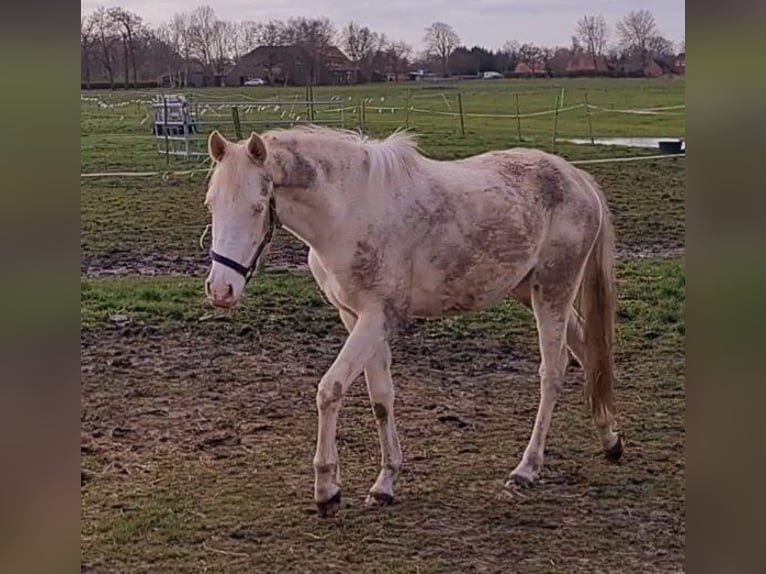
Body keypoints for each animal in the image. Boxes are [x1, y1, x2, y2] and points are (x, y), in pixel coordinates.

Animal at [202, 127, 624, 520]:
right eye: (211, 204)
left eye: (258, 206)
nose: (221, 290)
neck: (349, 210)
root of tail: (577, 178)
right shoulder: (355, 317)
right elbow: (381, 398)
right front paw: (385, 484)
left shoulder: (377, 318)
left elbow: (330, 389)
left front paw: (327, 490)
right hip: (530, 290)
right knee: (588, 354)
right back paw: (610, 440)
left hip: (553, 290)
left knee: (553, 371)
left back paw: (527, 468)